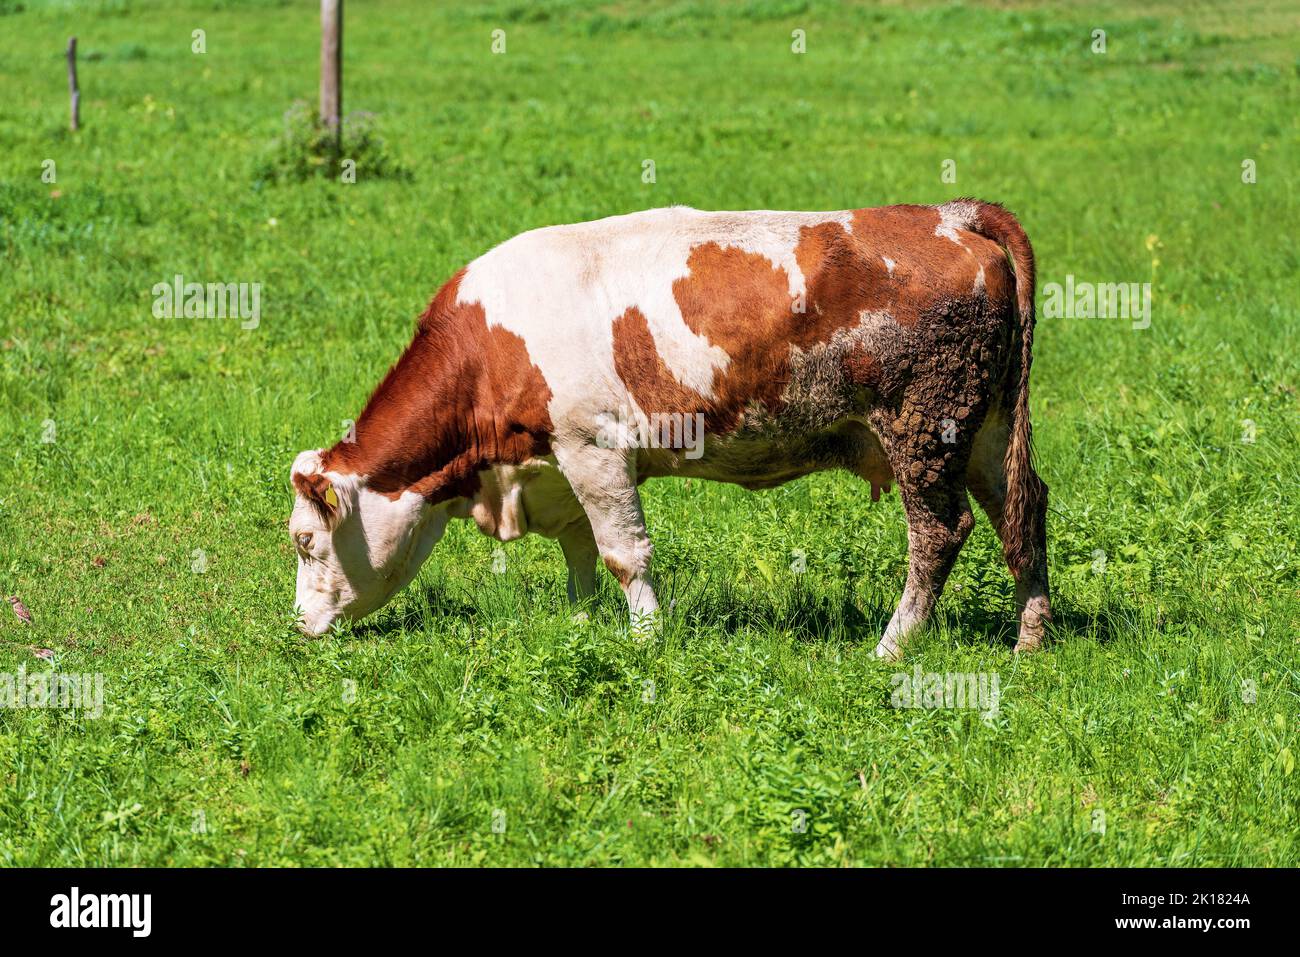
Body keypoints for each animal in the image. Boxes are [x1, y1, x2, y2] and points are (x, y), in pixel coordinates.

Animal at [288, 201, 1051, 659]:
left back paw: (893, 644)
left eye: (304, 541)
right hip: (983, 430)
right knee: (1023, 510)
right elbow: (580, 554)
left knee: (940, 532)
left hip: (923, 428)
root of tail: (947, 215)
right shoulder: (557, 464)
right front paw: (580, 625)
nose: (297, 623)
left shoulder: (593, 448)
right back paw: (1031, 636)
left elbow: (624, 553)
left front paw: (646, 638)